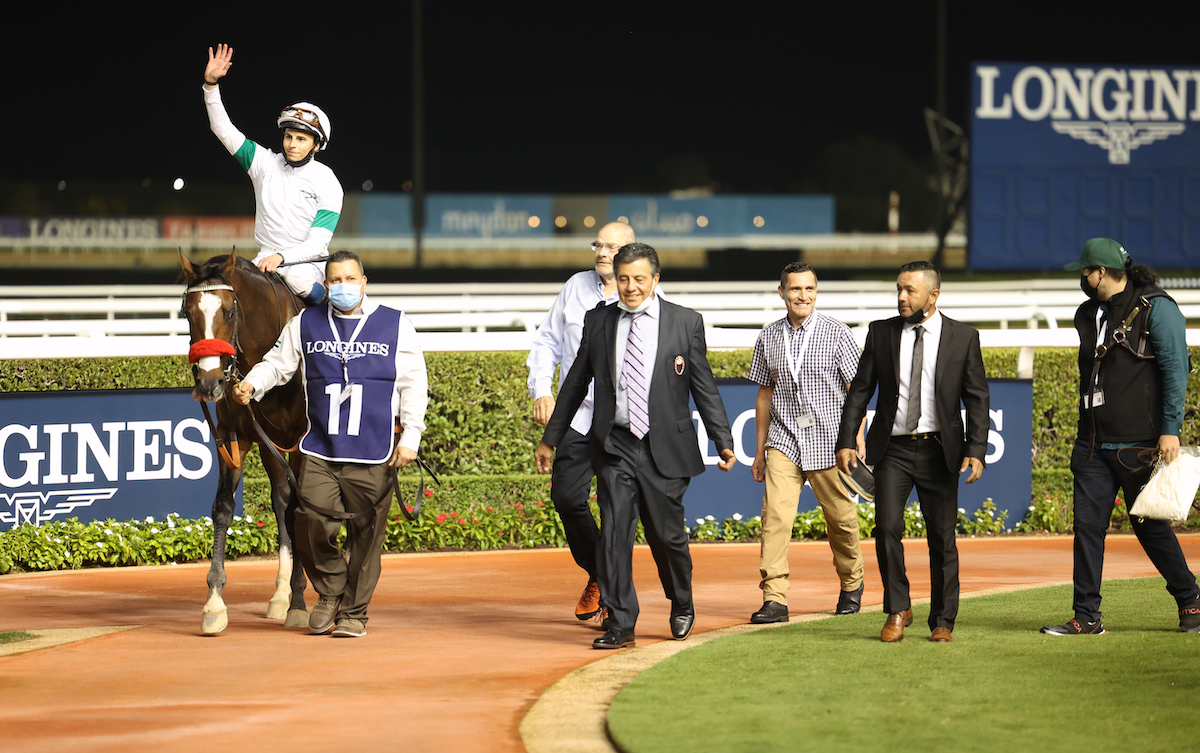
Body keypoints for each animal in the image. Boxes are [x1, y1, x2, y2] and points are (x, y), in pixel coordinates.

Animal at [178, 248, 312, 633]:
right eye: (188, 313)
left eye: (229, 311)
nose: (209, 382)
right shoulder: (233, 436)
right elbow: (223, 509)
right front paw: (214, 603)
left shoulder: (301, 441)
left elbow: (303, 508)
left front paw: (300, 601)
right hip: (271, 444)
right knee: (281, 501)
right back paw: (279, 595)